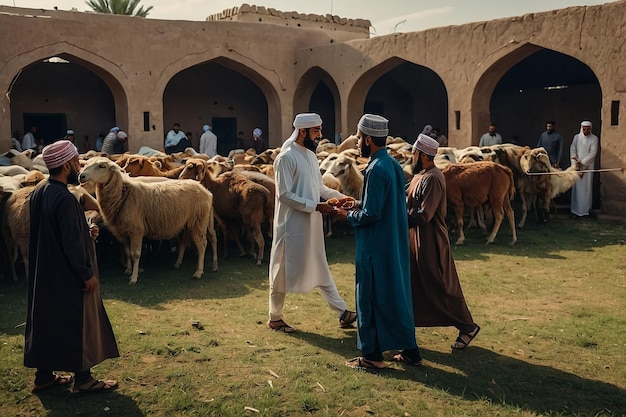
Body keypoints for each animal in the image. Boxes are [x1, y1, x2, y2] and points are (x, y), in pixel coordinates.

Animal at [79, 158, 218, 284]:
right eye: (86, 164)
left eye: (102, 166)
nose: (81, 176)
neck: (123, 193)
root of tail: (207, 191)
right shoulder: (123, 231)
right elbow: (128, 252)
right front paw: (128, 270)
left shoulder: (136, 230)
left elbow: (135, 254)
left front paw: (134, 278)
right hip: (192, 222)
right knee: (200, 239)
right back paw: (199, 264)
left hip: (198, 222)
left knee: (202, 244)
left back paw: (198, 272)